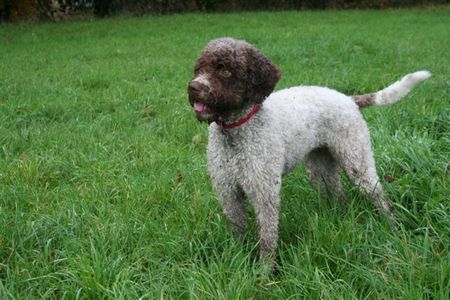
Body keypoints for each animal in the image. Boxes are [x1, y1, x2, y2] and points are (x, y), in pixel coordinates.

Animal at [187, 37, 432, 268]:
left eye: (225, 70)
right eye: (199, 68)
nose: (193, 87)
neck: (237, 131)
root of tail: (348, 99)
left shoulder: (264, 190)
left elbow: (267, 237)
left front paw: (265, 272)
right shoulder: (227, 190)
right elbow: (237, 230)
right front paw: (238, 258)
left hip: (357, 160)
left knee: (379, 196)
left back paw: (394, 228)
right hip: (320, 167)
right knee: (339, 194)